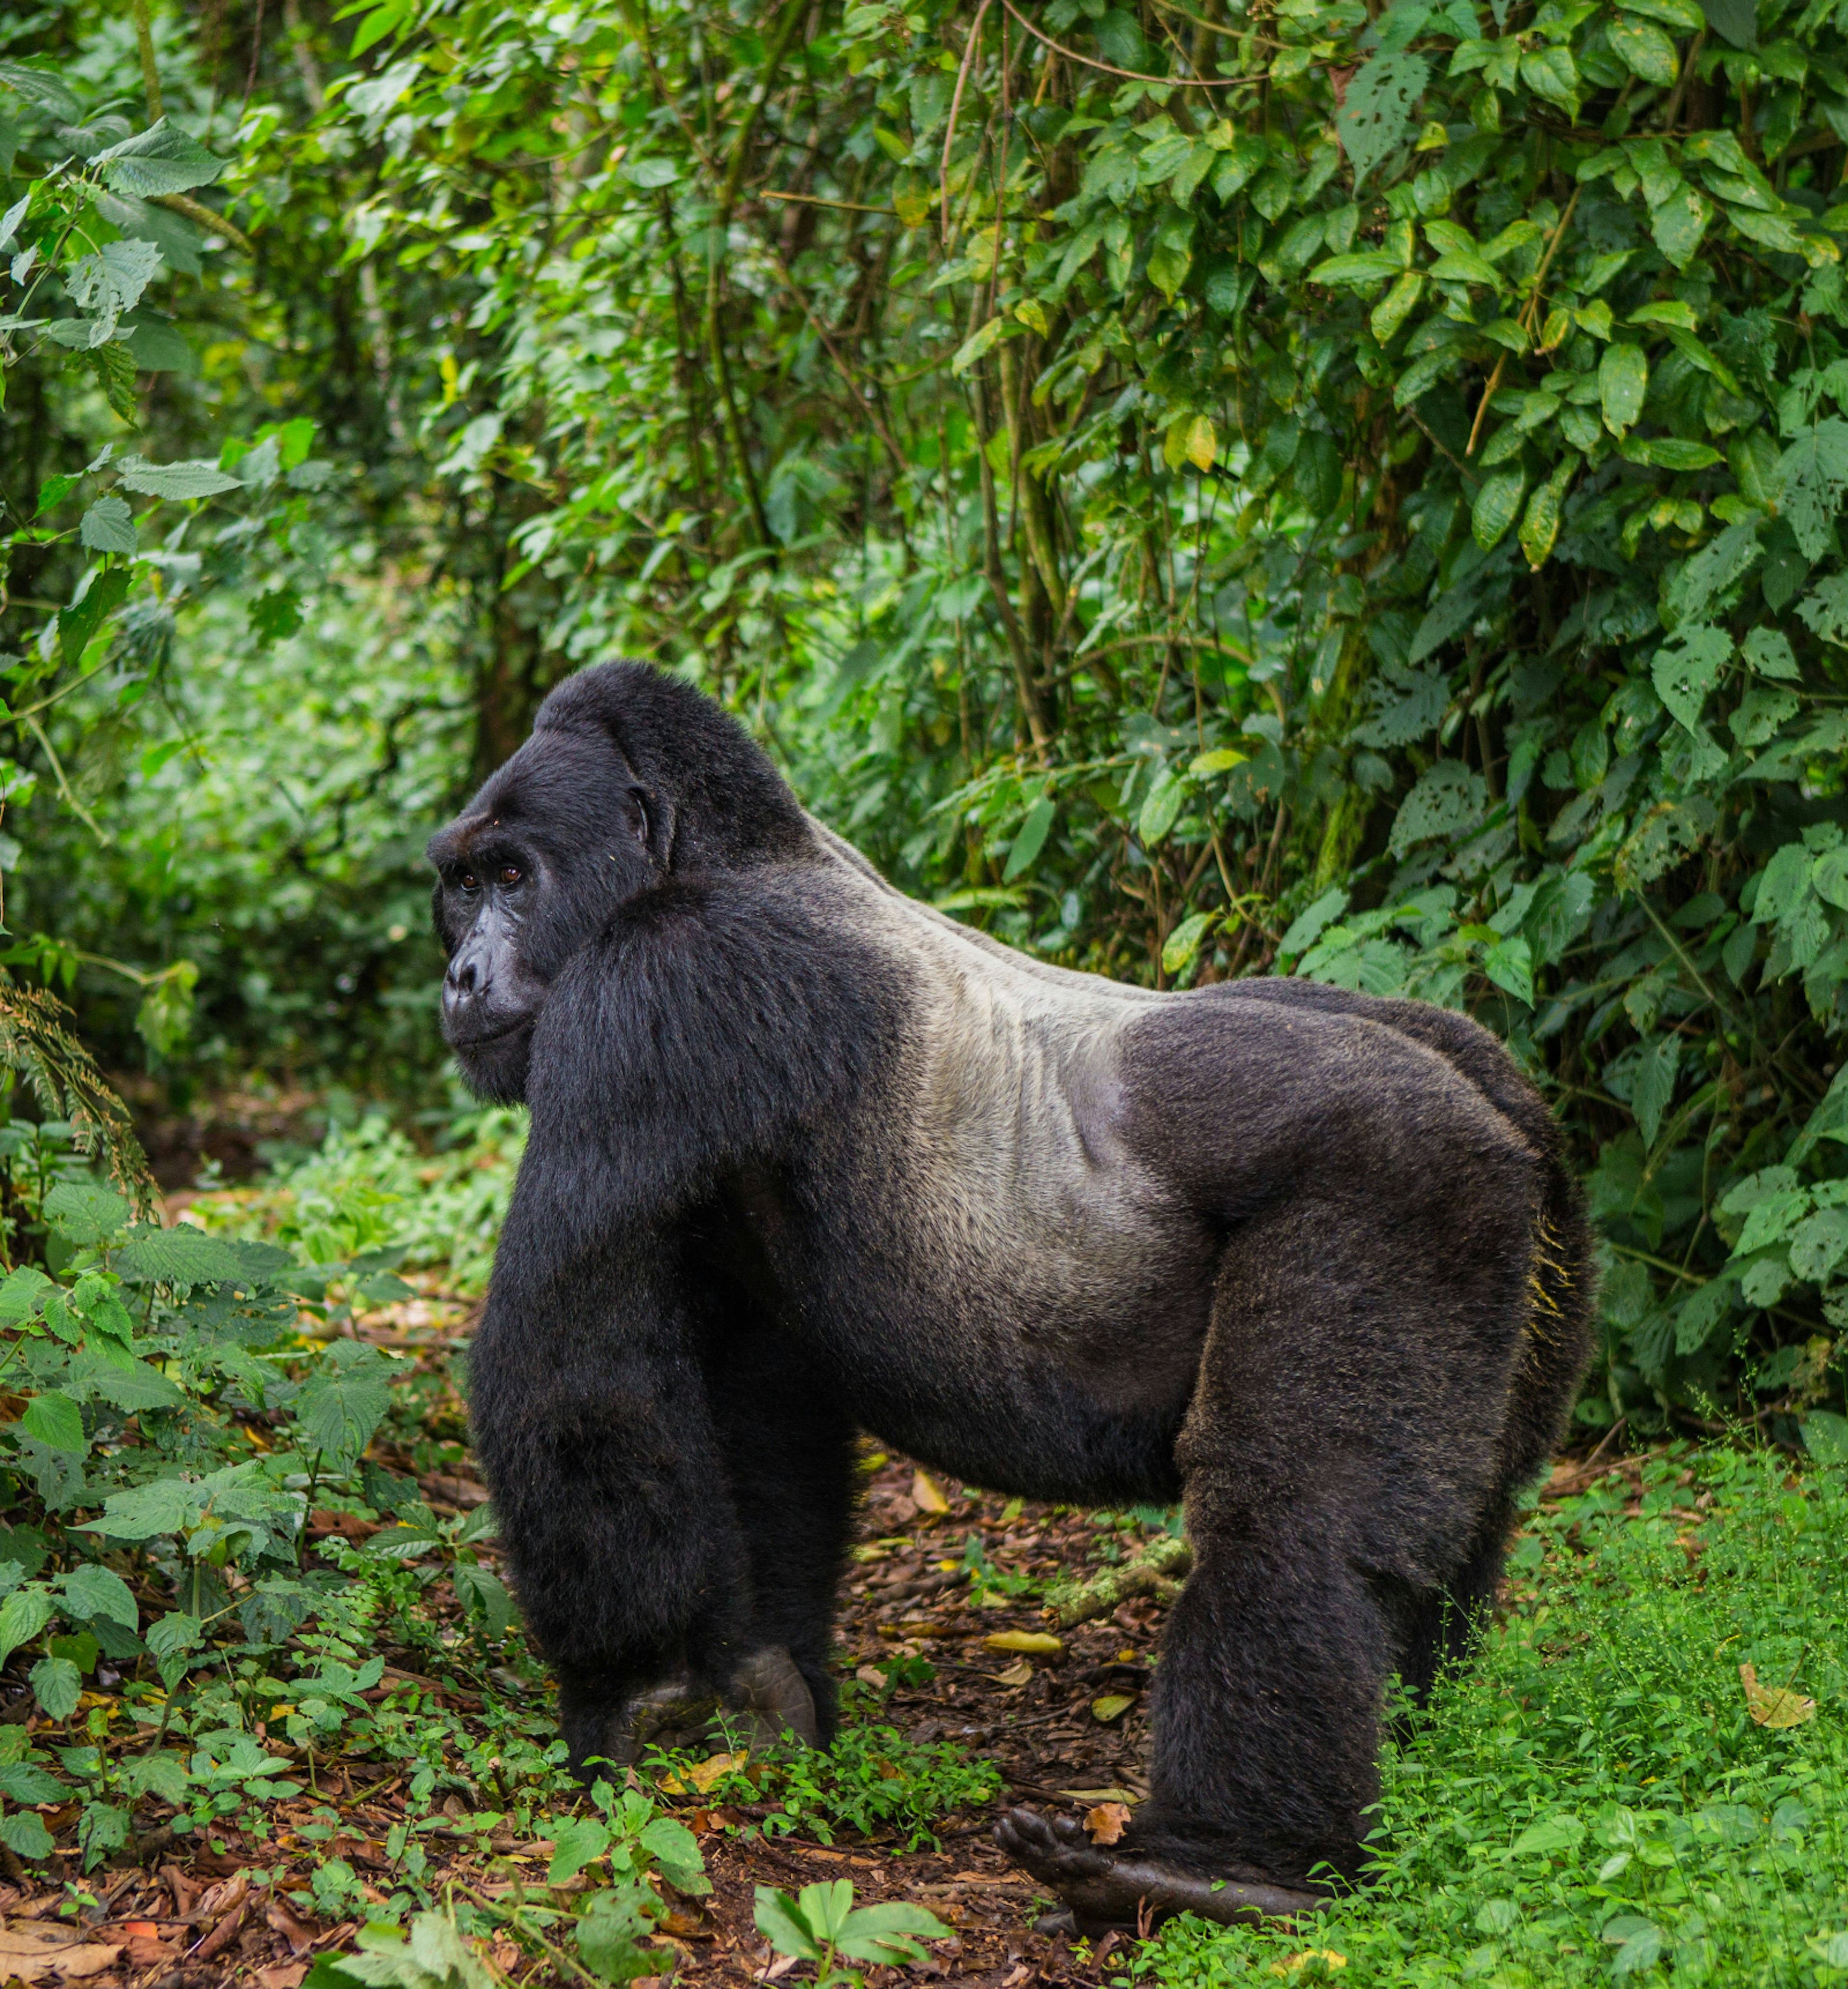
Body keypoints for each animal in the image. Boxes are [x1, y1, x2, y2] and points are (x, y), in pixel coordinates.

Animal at [425, 664, 1591, 1925]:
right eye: (456, 886)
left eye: (511, 877)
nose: (458, 974)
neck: (722, 853)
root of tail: (1502, 1106)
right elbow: (757, 1410)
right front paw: (763, 1685)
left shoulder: (662, 985)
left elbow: (573, 1369)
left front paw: (637, 1692)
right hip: (1532, 1230)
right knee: (1464, 1520)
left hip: (1408, 1175)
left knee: (1289, 1520)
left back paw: (1222, 1868)